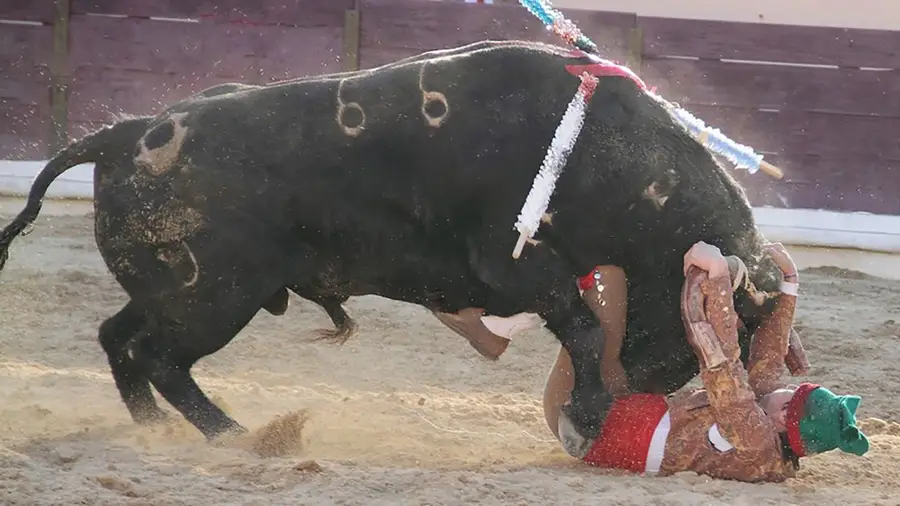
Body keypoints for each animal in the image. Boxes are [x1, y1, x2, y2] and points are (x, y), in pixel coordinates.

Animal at [0, 40, 788, 446]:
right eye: (696, 334)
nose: (643, 398)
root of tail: (127, 132)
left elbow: (584, 329)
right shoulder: (520, 269)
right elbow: (589, 331)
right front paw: (586, 419)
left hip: (174, 292)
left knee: (120, 339)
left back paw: (158, 432)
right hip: (213, 297)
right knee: (160, 357)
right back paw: (240, 436)